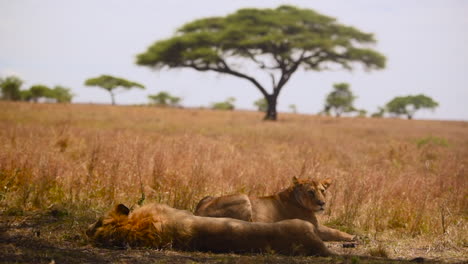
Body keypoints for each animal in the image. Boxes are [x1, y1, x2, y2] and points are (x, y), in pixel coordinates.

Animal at [195, 176, 354, 242]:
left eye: (322, 190)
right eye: (310, 192)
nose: (322, 203)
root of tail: (198, 210)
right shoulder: (314, 226)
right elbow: (333, 231)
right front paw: (352, 237)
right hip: (243, 197)